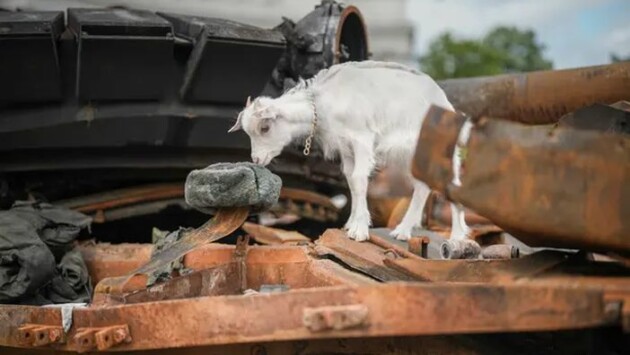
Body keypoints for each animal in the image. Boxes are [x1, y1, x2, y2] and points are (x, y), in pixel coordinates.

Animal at [230, 62, 472, 243]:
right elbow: (351, 181)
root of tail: (445, 102)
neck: (325, 103)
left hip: (438, 149)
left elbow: (359, 178)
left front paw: (359, 230)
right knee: (424, 186)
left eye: (265, 127)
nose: (257, 159)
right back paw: (407, 232)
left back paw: (454, 237)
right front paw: (351, 225)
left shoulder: (361, 138)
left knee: (449, 183)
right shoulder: (345, 146)